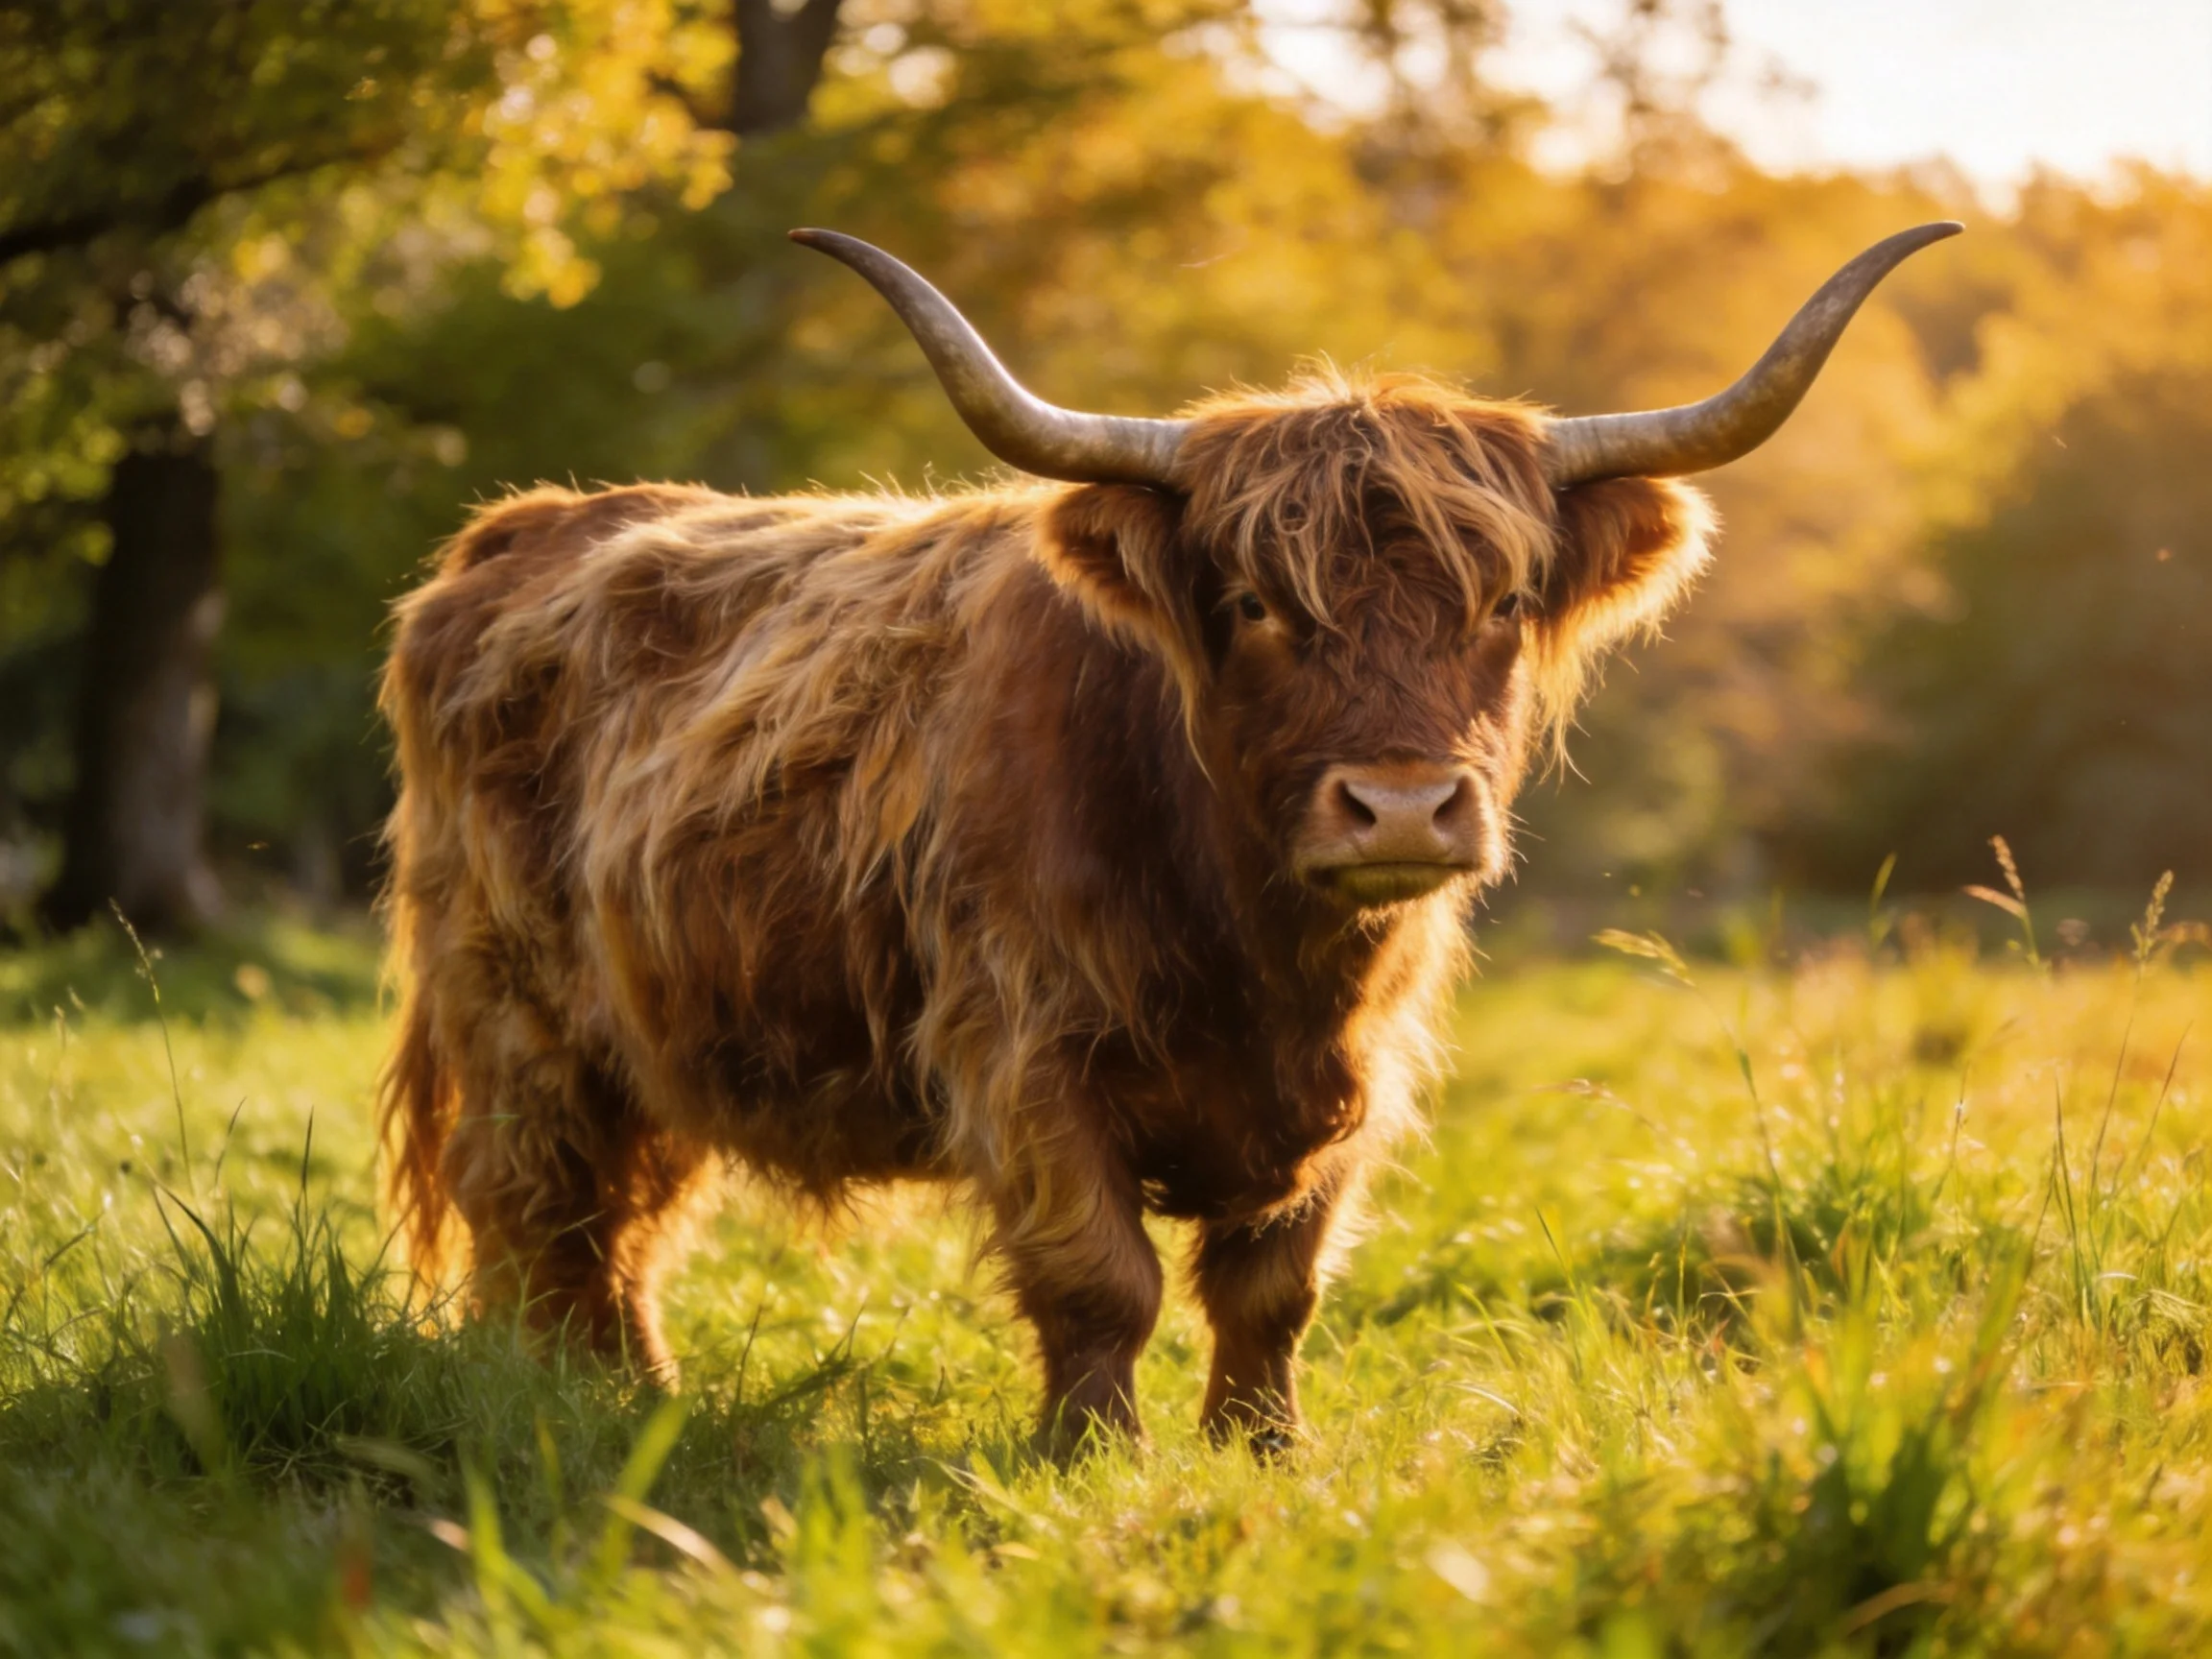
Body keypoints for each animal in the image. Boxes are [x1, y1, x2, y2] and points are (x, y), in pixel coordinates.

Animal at [379, 222, 1958, 1453]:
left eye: (1503, 603)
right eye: (1256, 605)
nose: (1400, 806)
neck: (1257, 954)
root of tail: (513, 534)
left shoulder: (1356, 1082)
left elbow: (1275, 1287)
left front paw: (1265, 1451)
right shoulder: (1024, 1052)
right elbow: (1104, 1278)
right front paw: (1092, 1457)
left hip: (651, 1034)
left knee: (625, 1223)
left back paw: (638, 1400)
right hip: (514, 1019)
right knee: (540, 1213)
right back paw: (562, 1403)